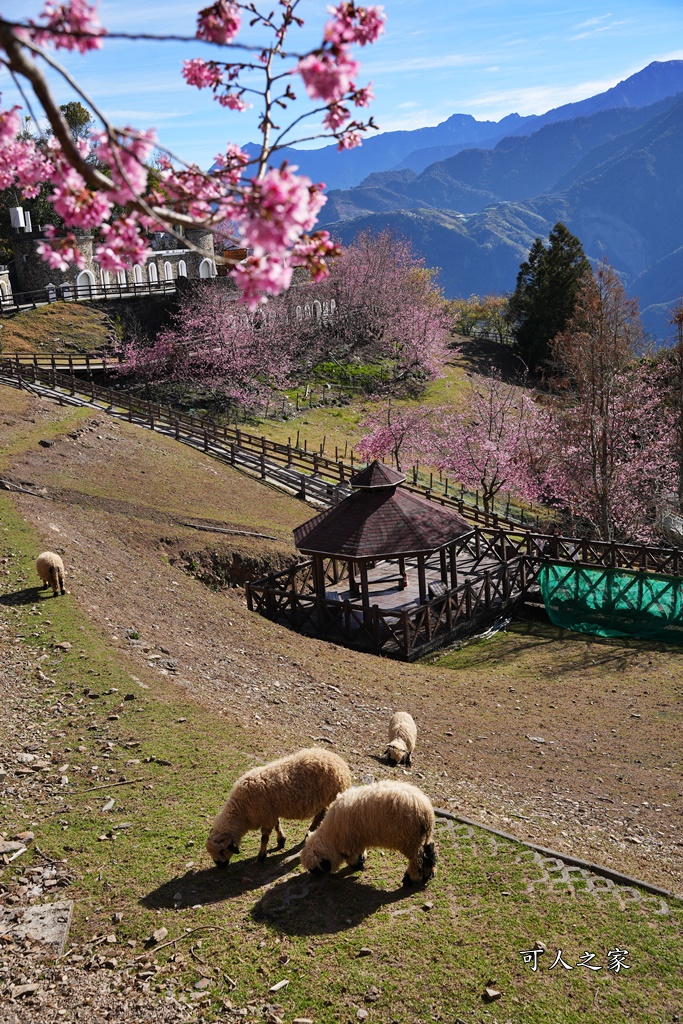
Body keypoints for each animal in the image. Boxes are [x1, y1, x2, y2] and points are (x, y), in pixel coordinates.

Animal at [205, 749, 352, 868]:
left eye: (221, 850)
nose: (220, 866)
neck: (242, 811)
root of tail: (340, 763)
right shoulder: (270, 813)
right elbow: (277, 825)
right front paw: (281, 840)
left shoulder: (266, 817)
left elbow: (264, 838)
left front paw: (261, 856)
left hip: (330, 797)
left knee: (321, 816)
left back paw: (309, 832)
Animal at [301, 778, 438, 884]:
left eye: (316, 869)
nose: (315, 878)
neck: (331, 835)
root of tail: (427, 812)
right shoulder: (358, 839)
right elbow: (360, 853)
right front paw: (361, 861)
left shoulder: (350, 843)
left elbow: (353, 857)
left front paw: (357, 865)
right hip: (422, 838)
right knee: (429, 853)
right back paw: (427, 875)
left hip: (410, 840)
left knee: (417, 859)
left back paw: (410, 879)